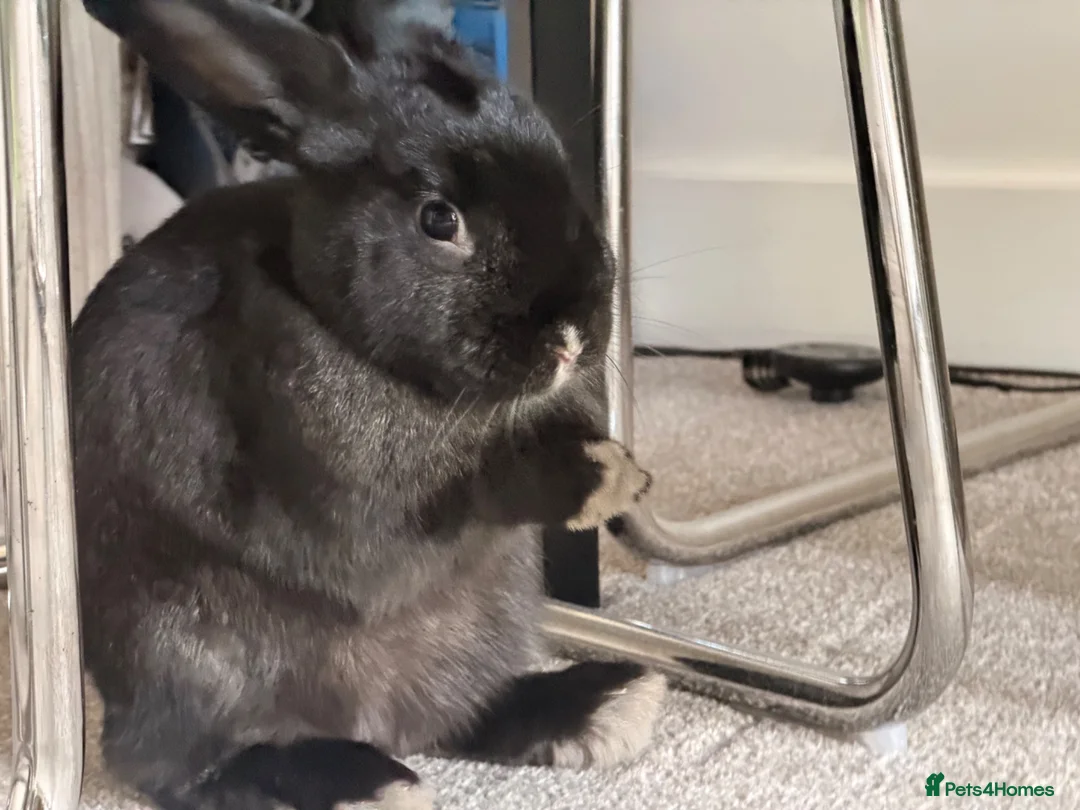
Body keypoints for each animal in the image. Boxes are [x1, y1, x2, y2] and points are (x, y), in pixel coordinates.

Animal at [71, 1, 664, 809]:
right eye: (439, 219)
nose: (573, 337)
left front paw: (617, 469)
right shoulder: (362, 504)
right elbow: (476, 490)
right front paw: (601, 481)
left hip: (489, 623)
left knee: (459, 714)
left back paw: (607, 702)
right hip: (180, 657)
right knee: (186, 769)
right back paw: (367, 783)